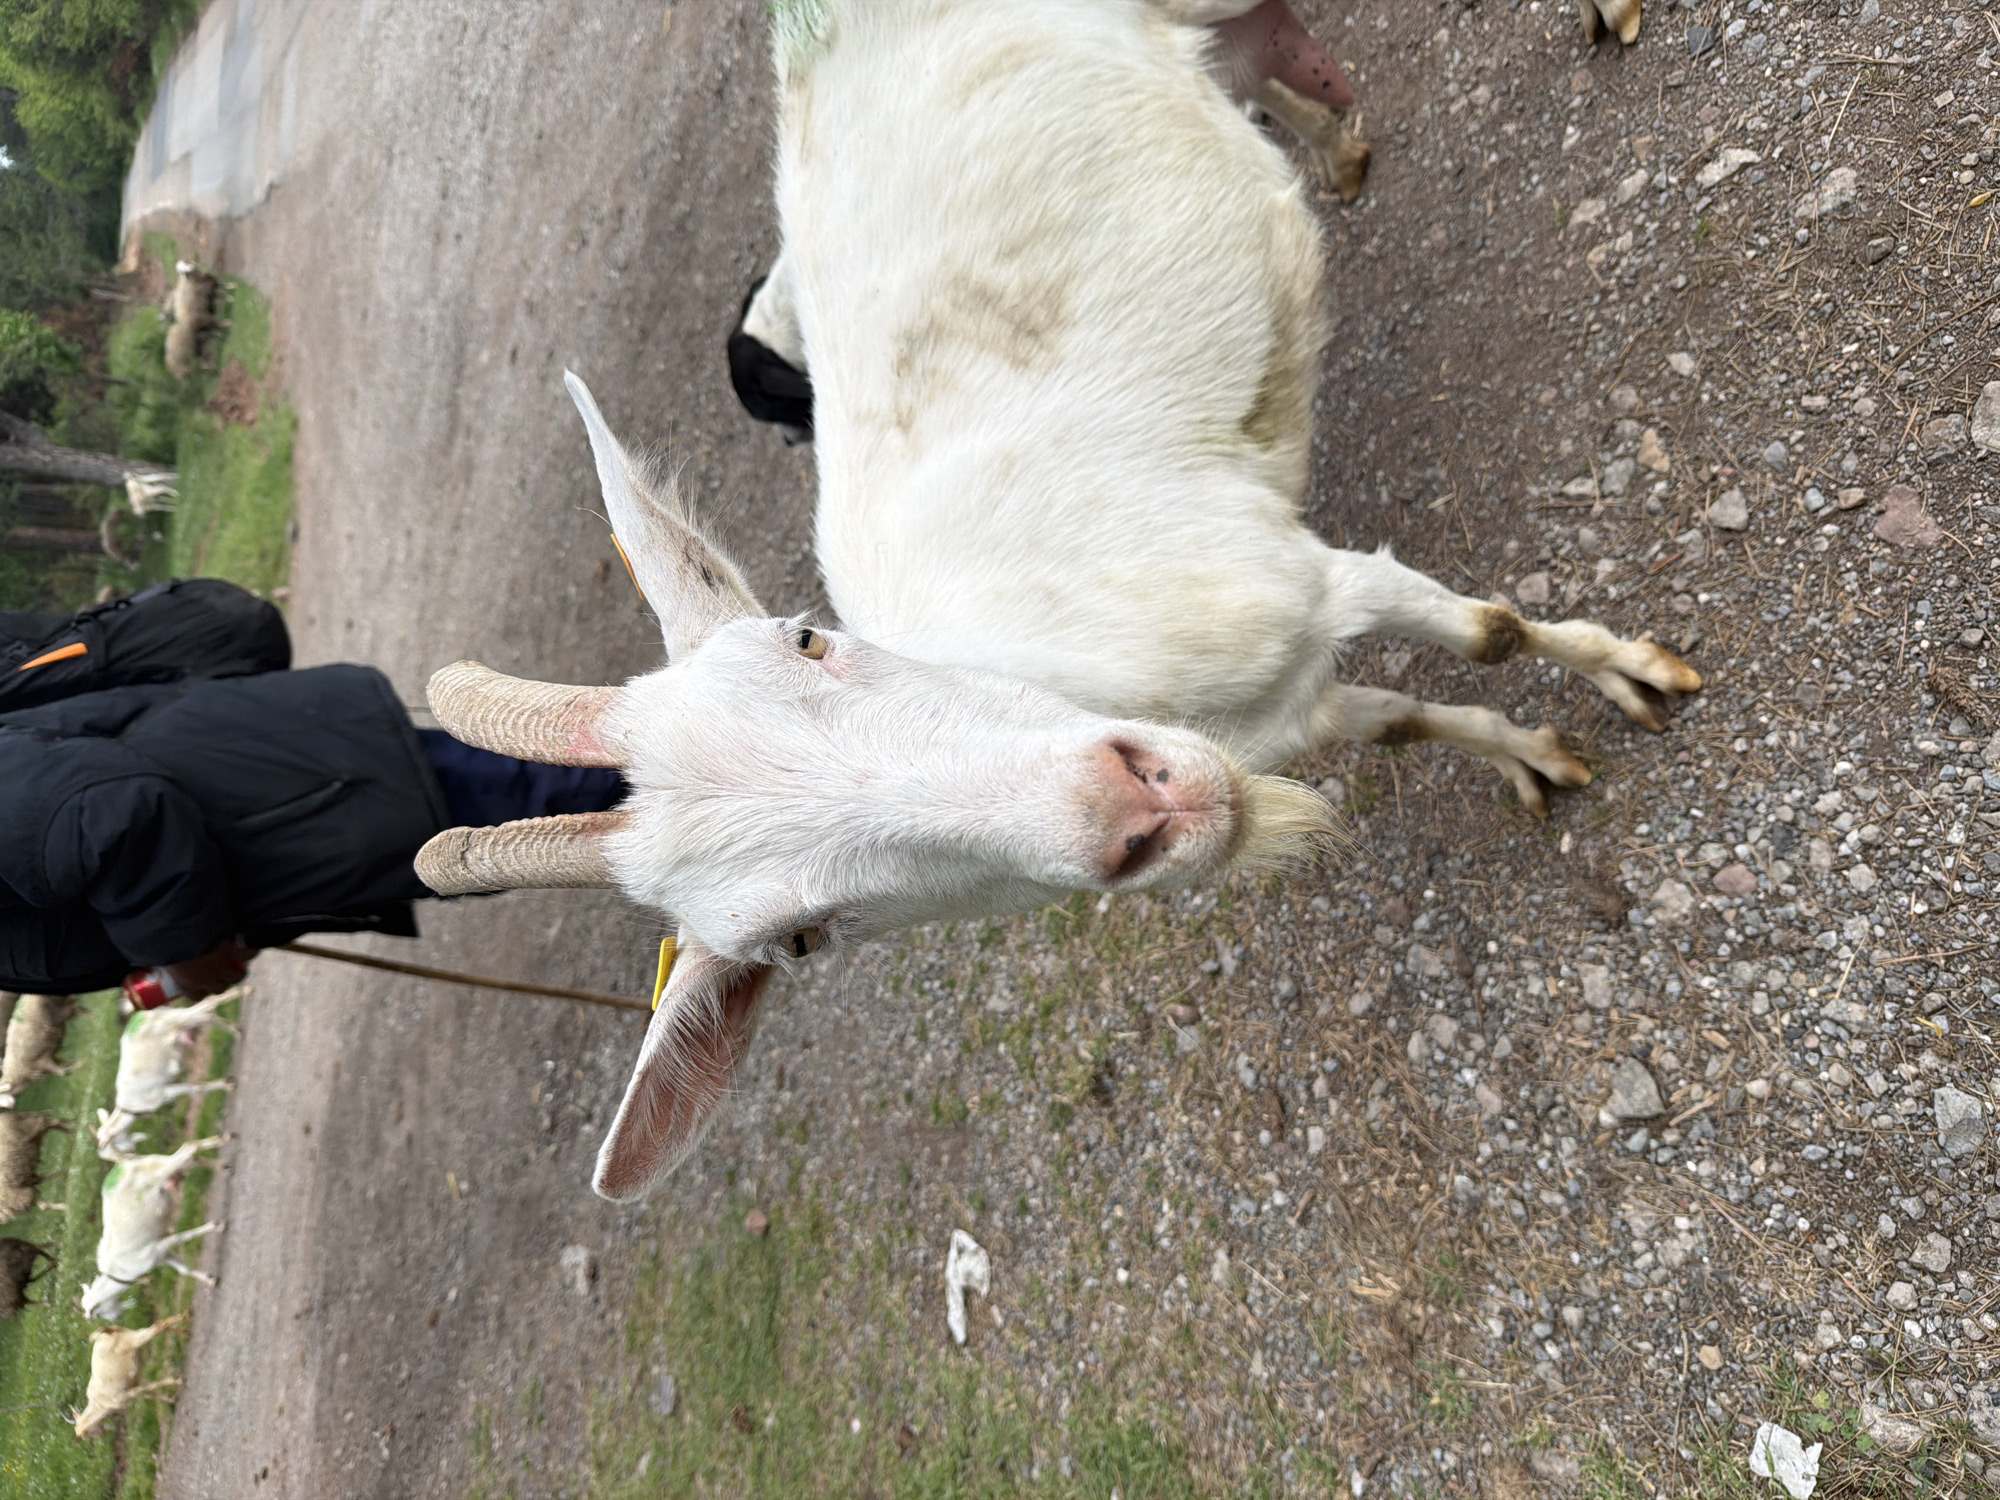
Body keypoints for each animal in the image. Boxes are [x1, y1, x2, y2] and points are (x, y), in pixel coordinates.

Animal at [79, 1137, 223, 1321]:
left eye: (96, 1315)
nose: (118, 1318)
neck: (120, 1271)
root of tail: (124, 1162)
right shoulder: (160, 1256)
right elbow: (184, 1270)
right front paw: (210, 1280)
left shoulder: (155, 1249)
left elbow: (182, 1237)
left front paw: (216, 1226)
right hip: (158, 1163)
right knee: (191, 1158)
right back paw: (223, 1164)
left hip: (160, 1171)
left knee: (189, 1148)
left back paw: (222, 1141)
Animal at [93, 989, 239, 1154]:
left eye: (114, 1142)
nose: (131, 1149)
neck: (131, 1108)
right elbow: (195, 1086)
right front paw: (226, 1082)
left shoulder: (165, 1092)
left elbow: (195, 1088)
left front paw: (226, 1085)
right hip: (171, 1014)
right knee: (208, 1014)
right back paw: (236, 1028)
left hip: (175, 1019)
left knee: (209, 1004)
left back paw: (241, 993)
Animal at [414, 0, 1697, 1202]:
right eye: (800, 941)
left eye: (808, 637)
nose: (1134, 805)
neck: (1041, 659)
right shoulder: (1293, 703)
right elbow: (1401, 718)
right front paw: (1528, 759)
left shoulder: (1299, 575)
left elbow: (1487, 632)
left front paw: (1632, 676)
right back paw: (1335, 149)